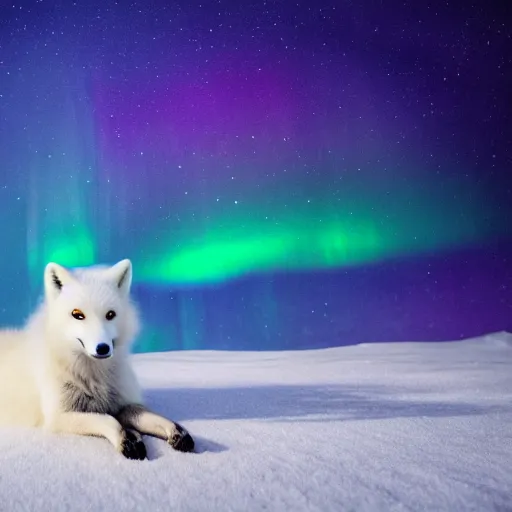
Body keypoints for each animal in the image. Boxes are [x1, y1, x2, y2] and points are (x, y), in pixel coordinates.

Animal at [0, 260, 194, 460]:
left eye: (110, 314)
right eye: (77, 314)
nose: (103, 348)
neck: (94, 378)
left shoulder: (124, 403)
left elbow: (154, 417)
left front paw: (177, 431)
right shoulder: (58, 416)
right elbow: (109, 420)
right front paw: (129, 439)